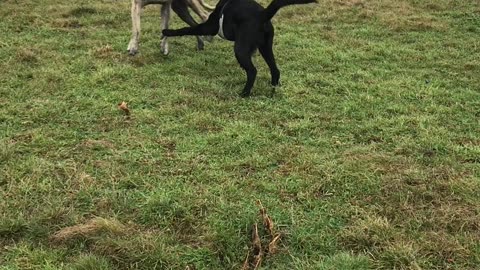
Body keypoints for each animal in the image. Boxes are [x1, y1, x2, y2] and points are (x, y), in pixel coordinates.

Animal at [163, 0, 316, 97]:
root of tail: (262, 15)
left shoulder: (210, 26)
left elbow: (189, 28)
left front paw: (167, 32)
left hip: (240, 50)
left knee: (253, 71)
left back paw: (244, 93)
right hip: (265, 48)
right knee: (275, 69)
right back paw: (273, 88)